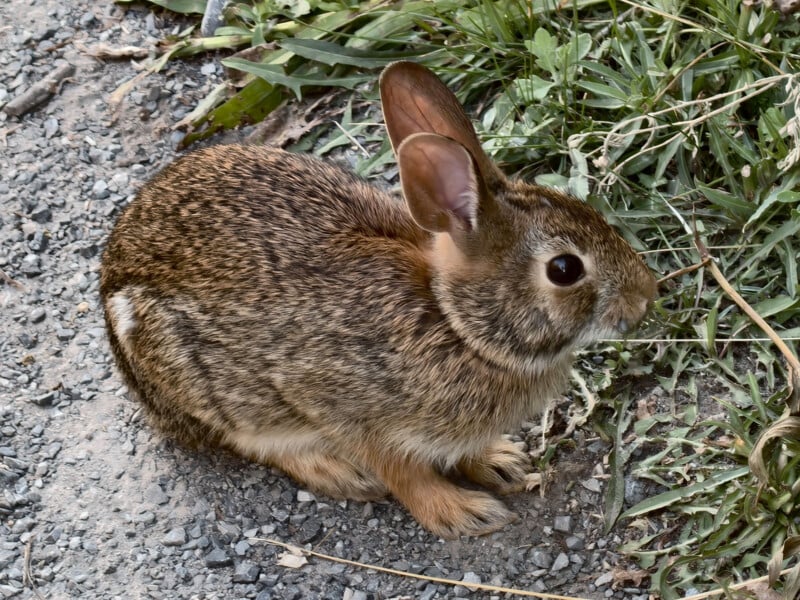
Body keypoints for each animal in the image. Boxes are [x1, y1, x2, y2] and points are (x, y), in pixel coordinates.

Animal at [100, 61, 657, 539]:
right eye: (565, 270)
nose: (646, 299)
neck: (455, 324)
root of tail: (110, 272)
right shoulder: (338, 404)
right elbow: (402, 473)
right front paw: (461, 512)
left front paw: (498, 462)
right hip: (205, 386)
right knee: (246, 440)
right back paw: (336, 472)